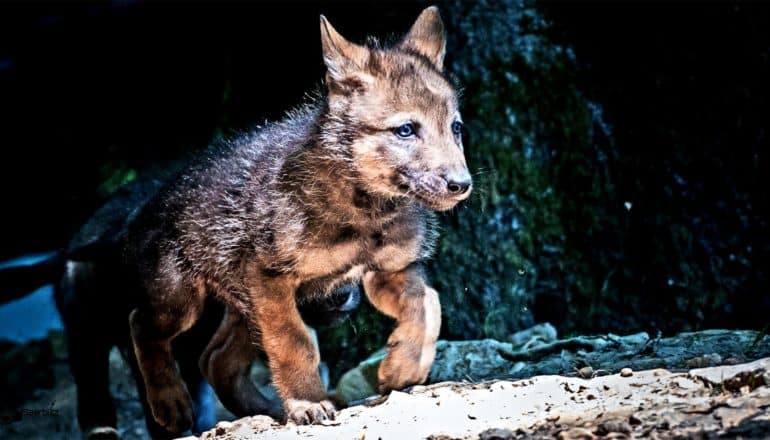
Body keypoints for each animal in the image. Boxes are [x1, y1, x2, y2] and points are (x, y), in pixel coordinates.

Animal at [126, 5, 468, 428]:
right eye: (405, 130)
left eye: (455, 128)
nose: (462, 184)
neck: (365, 209)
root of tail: (146, 206)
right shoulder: (270, 278)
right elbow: (295, 343)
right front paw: (308, 403)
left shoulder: (388, 271)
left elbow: (429, 306)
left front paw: (403, 368)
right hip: (183, 302)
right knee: (142, 325)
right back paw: (171, 404)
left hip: (243, 306)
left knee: (215, 360)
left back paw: (266, 411)